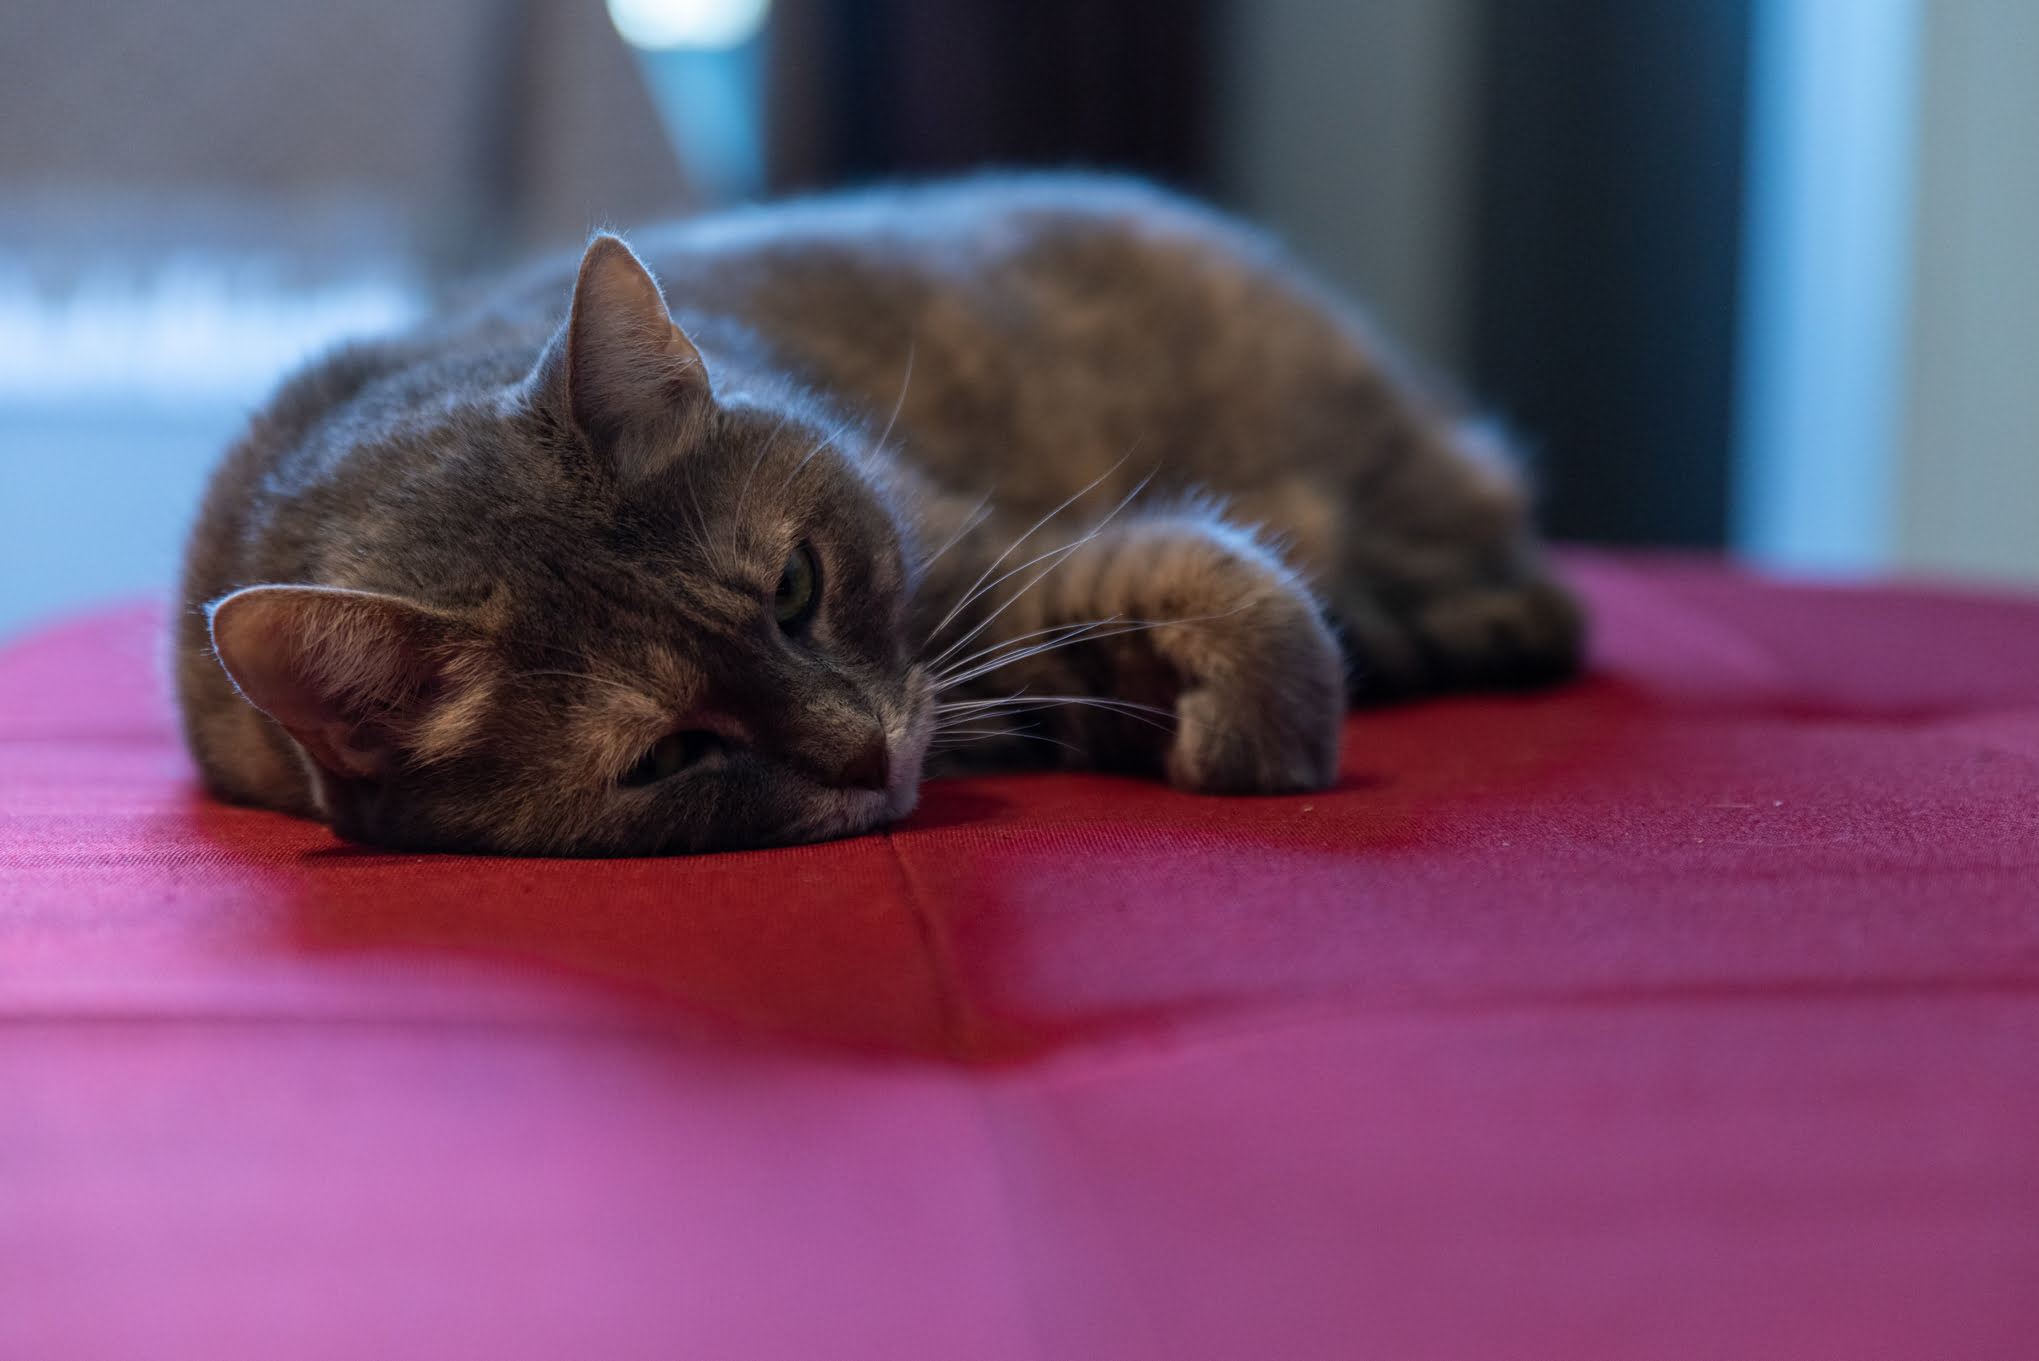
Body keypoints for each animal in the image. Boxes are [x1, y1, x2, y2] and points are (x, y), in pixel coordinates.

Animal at [179, 170, 1574, 852]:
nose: (866, 755)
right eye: (669, 755)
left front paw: (1262, 721)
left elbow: (1177, 574)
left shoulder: (989, 561)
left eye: (795, 586)